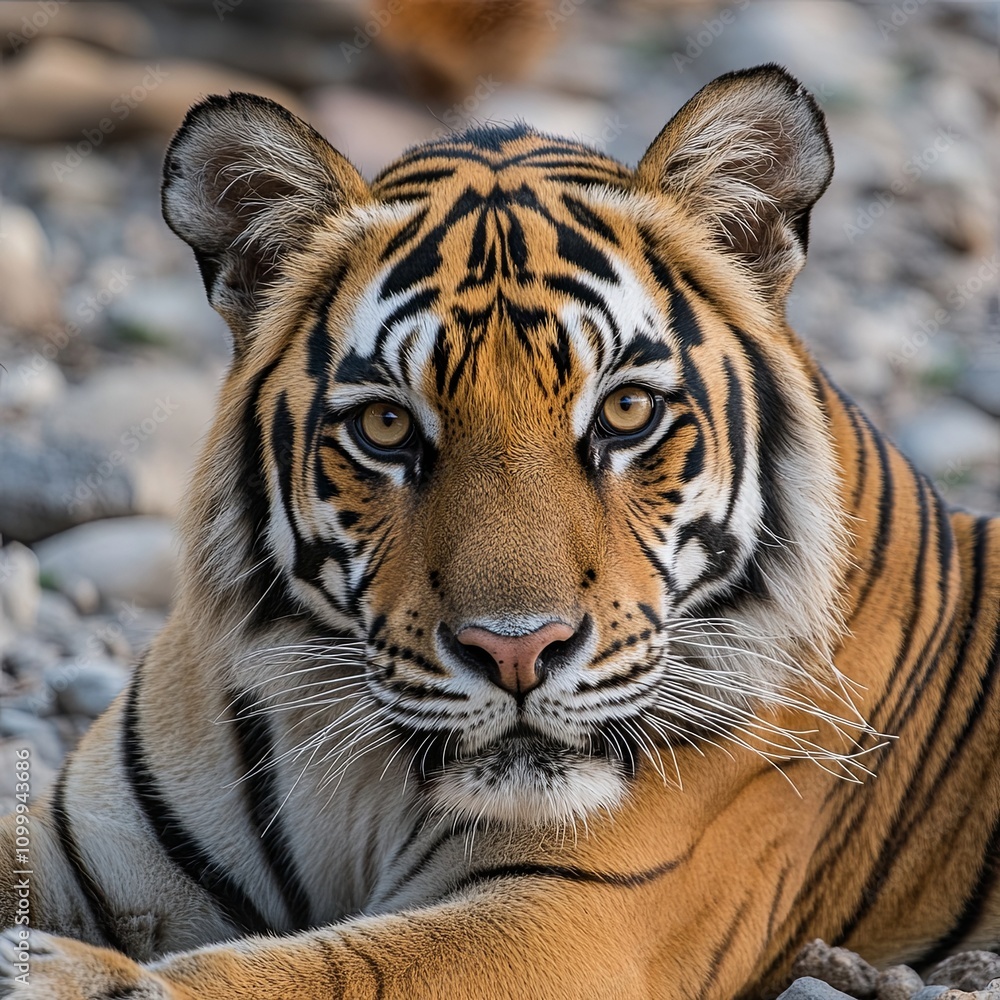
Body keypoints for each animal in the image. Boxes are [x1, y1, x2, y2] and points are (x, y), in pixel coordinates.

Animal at [2, 63, 999, 1000]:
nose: (518, 650)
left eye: (626, 412)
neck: (366, 781)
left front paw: (61, 975)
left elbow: (321, 972)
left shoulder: (575, 920)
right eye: (388, 427)